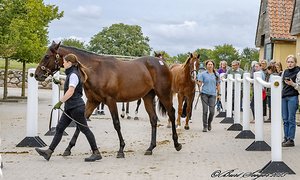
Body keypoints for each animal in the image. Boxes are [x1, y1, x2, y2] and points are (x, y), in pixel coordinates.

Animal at [34, 41, 182, 158]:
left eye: (46, 56)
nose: (37, 75)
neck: (95, 70)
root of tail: (162, 63)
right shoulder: (93, 101)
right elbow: (81, 124)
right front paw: (68, 149)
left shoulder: (110, 101)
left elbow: (116, 124)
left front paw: (121, 149)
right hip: (148, 97)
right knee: (153, 119)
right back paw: (150, 148)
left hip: (163, 94)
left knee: (171, 113)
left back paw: (176, 144)